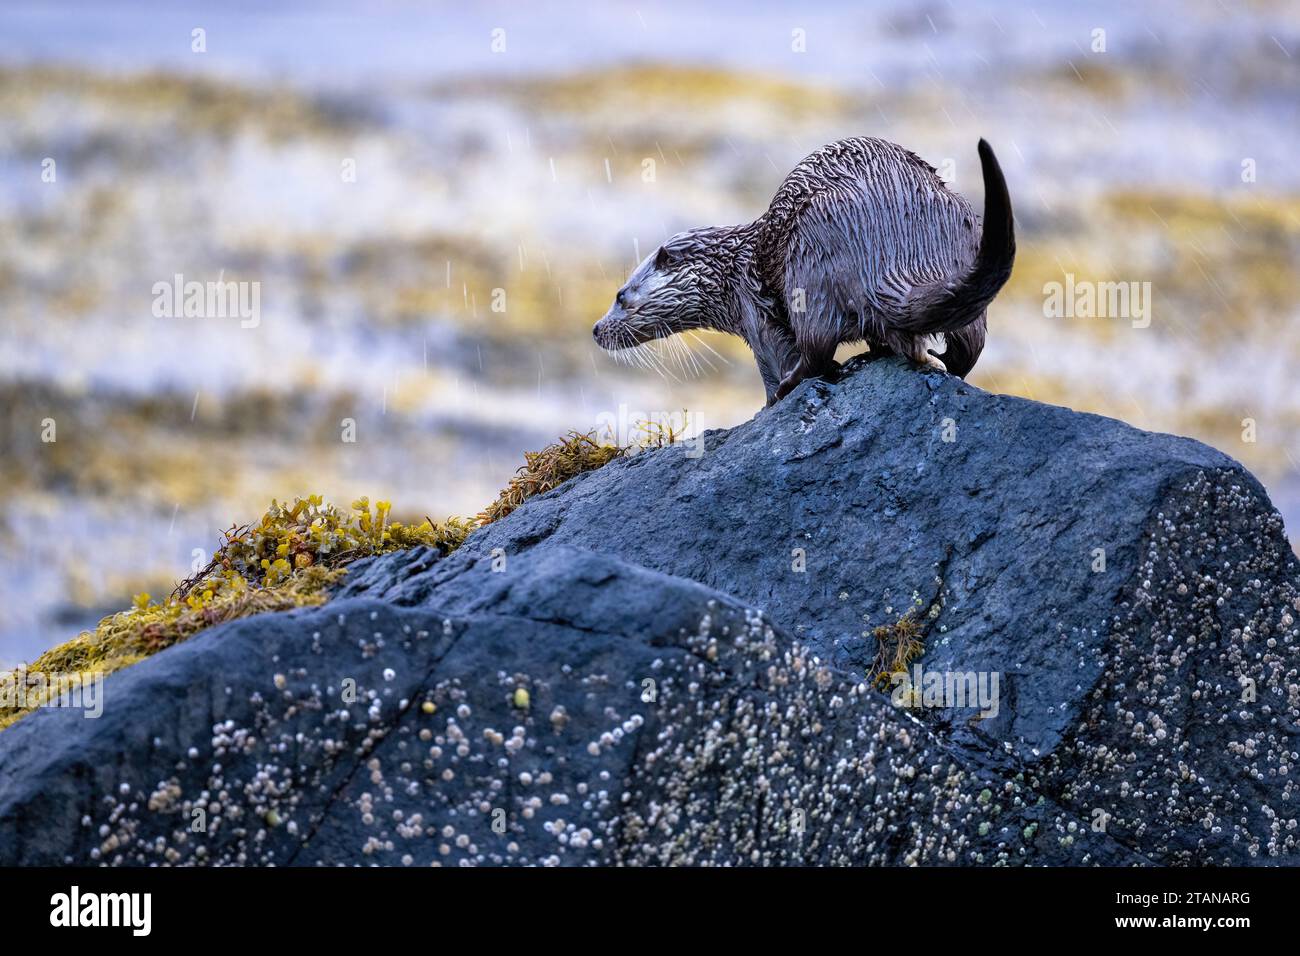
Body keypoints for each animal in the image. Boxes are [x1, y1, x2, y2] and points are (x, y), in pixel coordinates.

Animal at [595, 136, 1013, 405]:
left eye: (620, 296)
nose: (597, 329)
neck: (729, 271)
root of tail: (889, 250)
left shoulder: (753, 309)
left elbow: (772, 359)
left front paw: (768, 402)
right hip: (963, 231)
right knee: (967, 343)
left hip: (807, 260)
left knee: (817, 346)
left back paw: (792, 386)